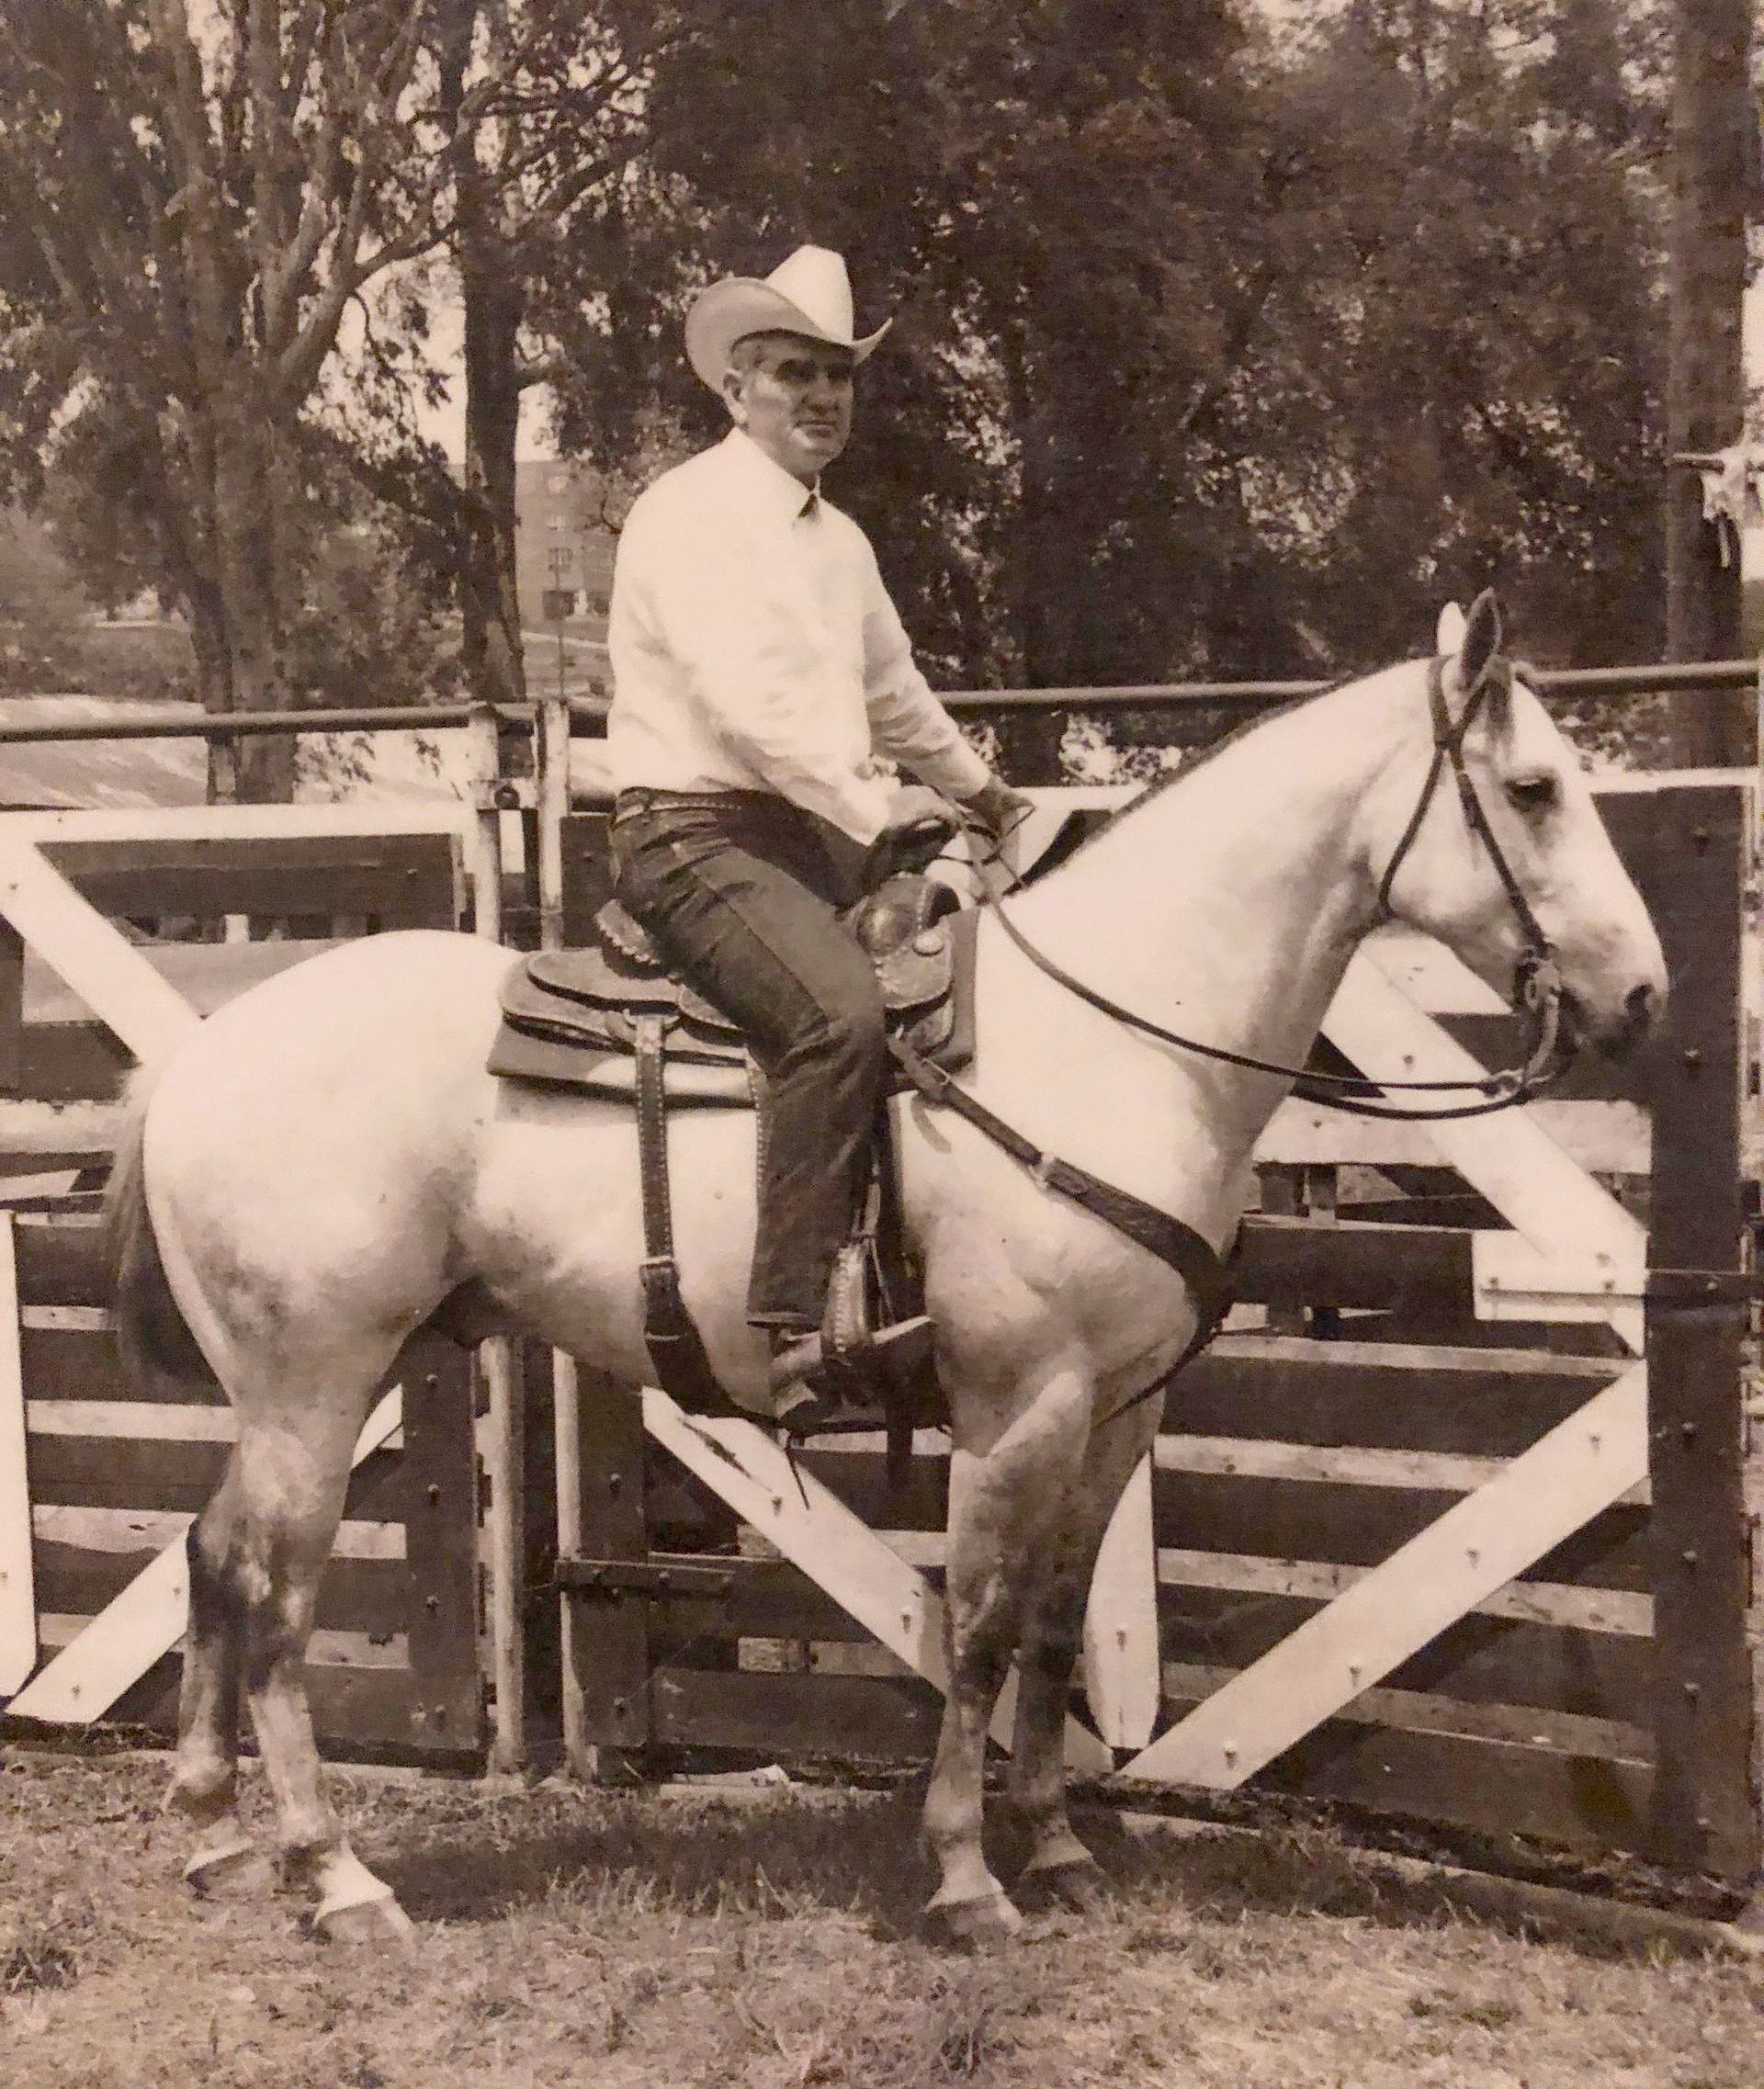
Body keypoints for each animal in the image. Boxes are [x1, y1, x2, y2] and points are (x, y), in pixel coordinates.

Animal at [110, 601, 1663, 1938]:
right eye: (1534, 787)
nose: (1643, 996)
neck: (1117, 1041)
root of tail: (203, 1051)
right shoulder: (1017, 1403)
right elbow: (975, 1628)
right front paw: (968, 1876)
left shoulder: (1120, 1407)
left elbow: (1054, 1628)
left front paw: (1059, 1848)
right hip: (319, 1380)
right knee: (277, 1596)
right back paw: (335, 1873)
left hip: (286, 1388)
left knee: (210, 1549)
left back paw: (213, 1831)